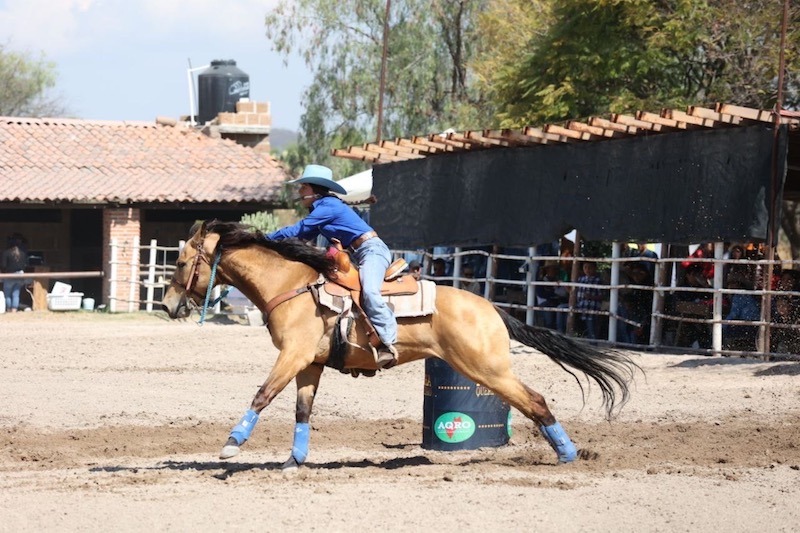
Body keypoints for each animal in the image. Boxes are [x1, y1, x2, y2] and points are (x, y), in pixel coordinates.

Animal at [161, 218, 636, 468]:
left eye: (181, 261)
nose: (167, 306)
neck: (292, 285)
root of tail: (492, 309)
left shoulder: (292, 355)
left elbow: (262, 394)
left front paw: (231, 444)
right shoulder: (308, 363)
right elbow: (301, 410)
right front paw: (294, 460)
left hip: (487, 368)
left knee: (535, 400)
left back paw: (568, 455)